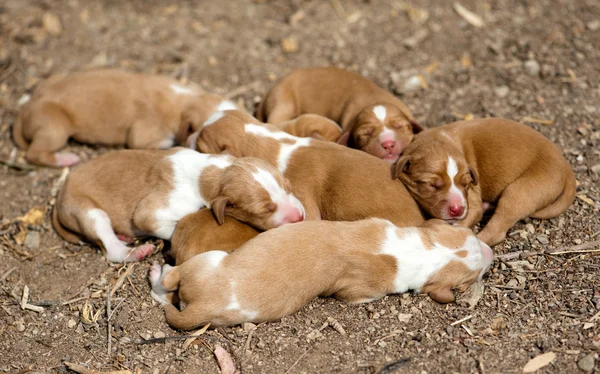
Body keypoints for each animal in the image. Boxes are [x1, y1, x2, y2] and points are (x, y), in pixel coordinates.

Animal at [12, 69, 238, 168]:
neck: (184, 100)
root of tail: (25, 108)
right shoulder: (143, 132)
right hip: (55, 128)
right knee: (35, 153)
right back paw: (66, 159)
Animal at [149, 219, 492, 330]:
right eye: (470, 279)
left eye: (470, 236)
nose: (490, 252)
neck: (423, 253)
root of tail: (201, 309)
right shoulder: (359, 293)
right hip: (209, 259)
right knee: (168, 278)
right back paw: (156, 270)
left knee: (166, 286)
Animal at [256, 66, 422, 163]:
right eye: (365, 134)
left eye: (400, 126)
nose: (388, 144)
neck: (374, 101)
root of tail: (271, 89)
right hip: (283, 101)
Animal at [394, 117, 576, 245]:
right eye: (432, 185)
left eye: (466, 184)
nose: (458, 209)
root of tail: (567, 168)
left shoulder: (471, 200)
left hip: (520, 192)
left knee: (496, 230)